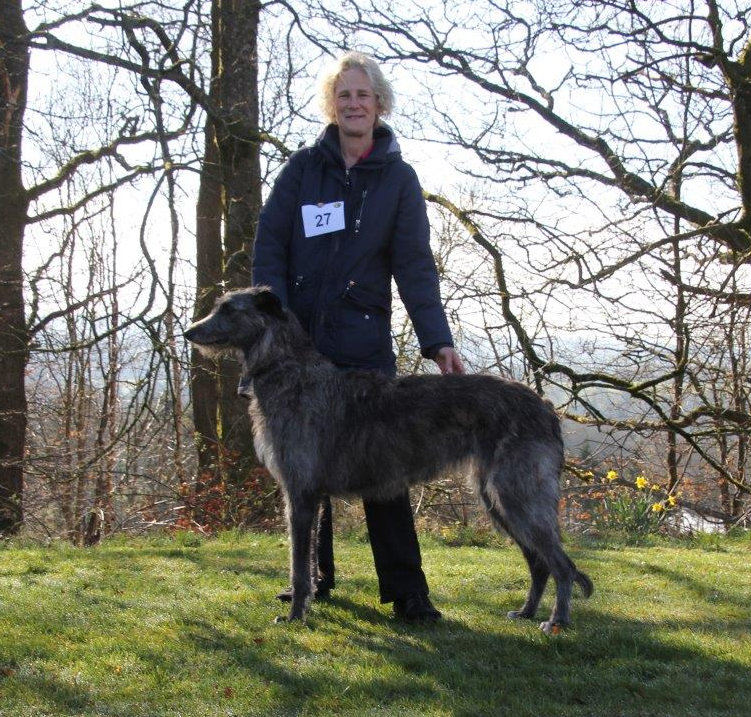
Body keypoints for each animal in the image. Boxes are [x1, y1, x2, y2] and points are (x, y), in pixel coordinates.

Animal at [187, 286, 592, 632]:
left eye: (228, 309)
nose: (190, 331)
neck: (289, 370)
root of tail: (546, 407)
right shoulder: (313, 497)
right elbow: (311, 561)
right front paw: (308, 603)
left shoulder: (300, 494)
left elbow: (299, 566)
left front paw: (296, 615)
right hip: (499, 500)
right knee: (540, 564)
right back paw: (527, 612)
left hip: (518, 494)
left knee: (561, 565)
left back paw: (557, 621)